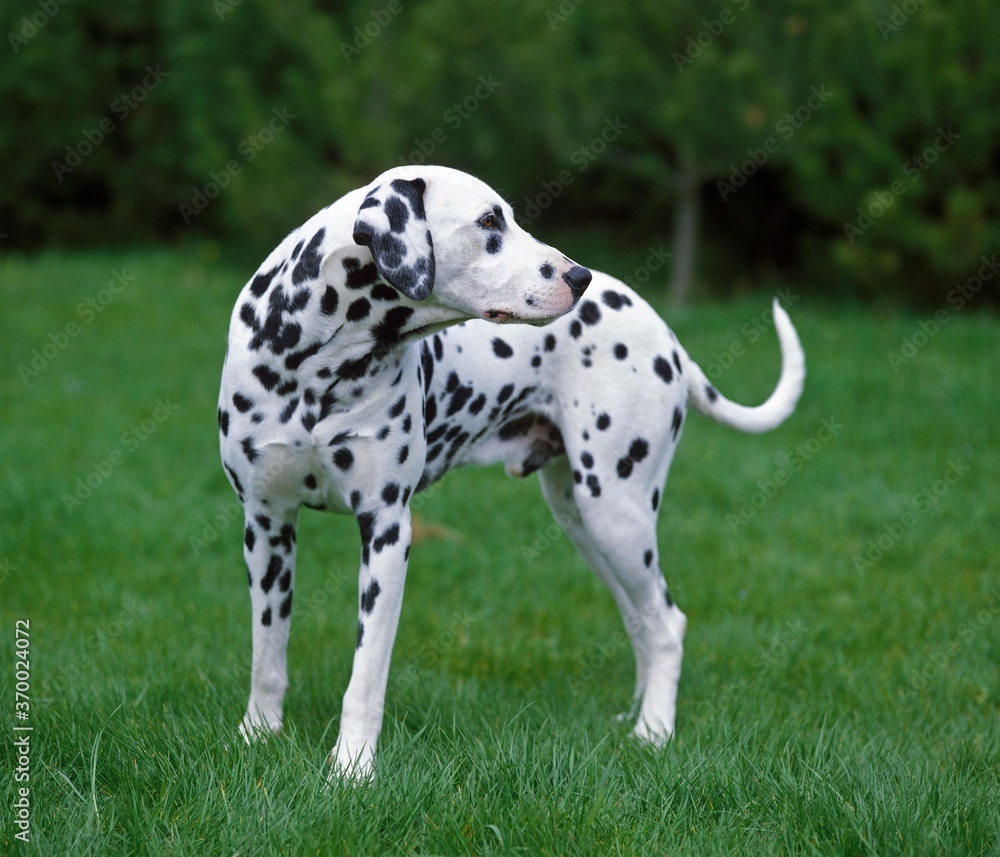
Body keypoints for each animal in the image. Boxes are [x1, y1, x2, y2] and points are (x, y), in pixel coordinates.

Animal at [219, 166, 588, 776]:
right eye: (490, 222)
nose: (579, 276)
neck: (318, 363)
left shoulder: (386, 531)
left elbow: (366, 675)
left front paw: (351, 767)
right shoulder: (267, 527)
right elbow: (265, 654)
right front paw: (257, 735)